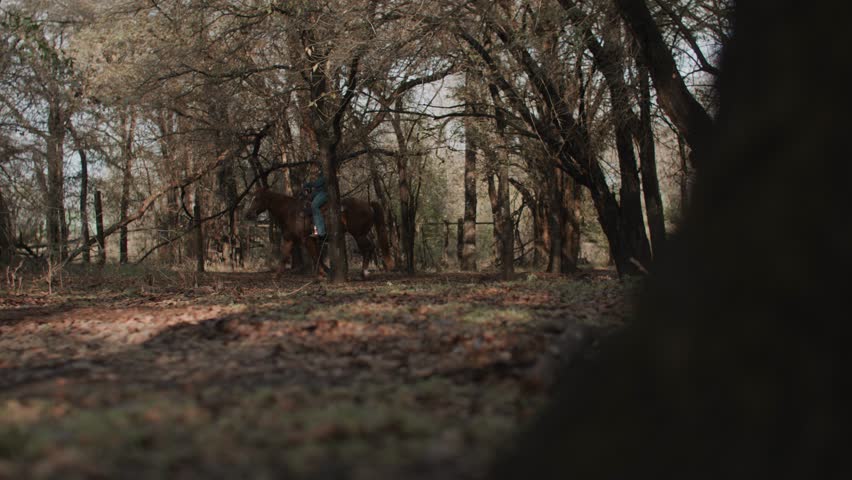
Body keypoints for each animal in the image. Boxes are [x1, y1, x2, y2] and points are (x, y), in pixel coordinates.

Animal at [244, 187, 394, 278]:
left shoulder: (307, 239)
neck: (291, 212)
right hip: (361, 234)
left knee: (368, 249)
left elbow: (315, 257)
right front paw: (276, 275)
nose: (248, 214)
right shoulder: (289, 239)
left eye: (257, 198)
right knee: (370, 248)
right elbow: (284, 256)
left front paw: (322, 273)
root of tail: (368, 205)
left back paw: (364, 272)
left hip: (359, 235)